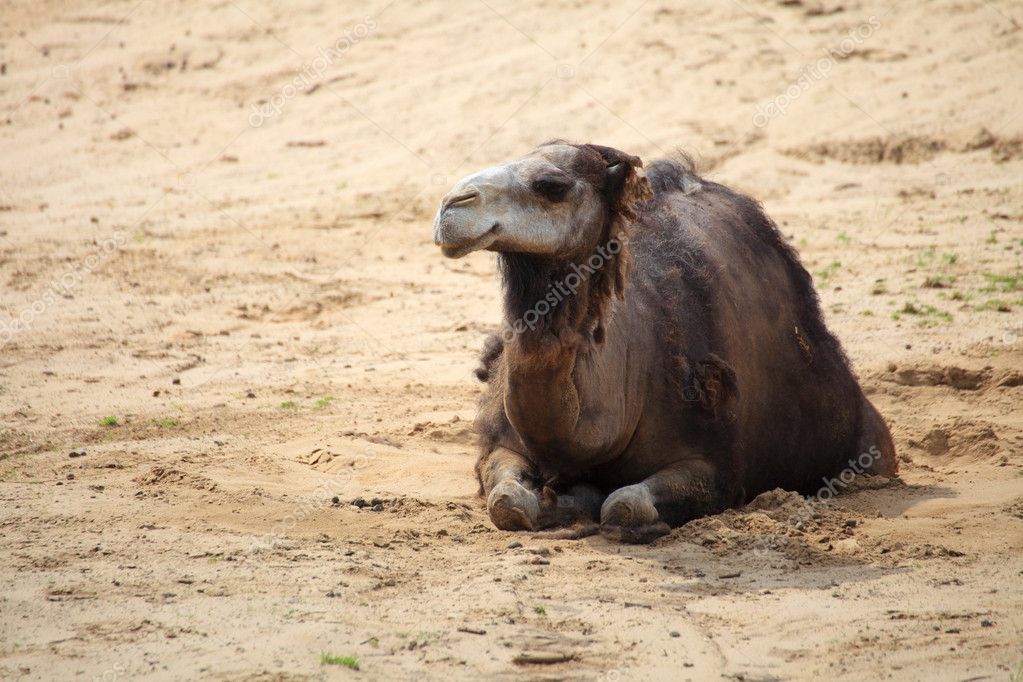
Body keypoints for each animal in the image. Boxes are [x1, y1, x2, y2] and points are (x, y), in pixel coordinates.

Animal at [432, 141, 896, 538]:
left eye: (552, 186)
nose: (451, 206)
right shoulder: (499, 443)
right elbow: (507, 501)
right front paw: (563, 500)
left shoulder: (717, 466)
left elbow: (625, 504)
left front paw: (591, 503)